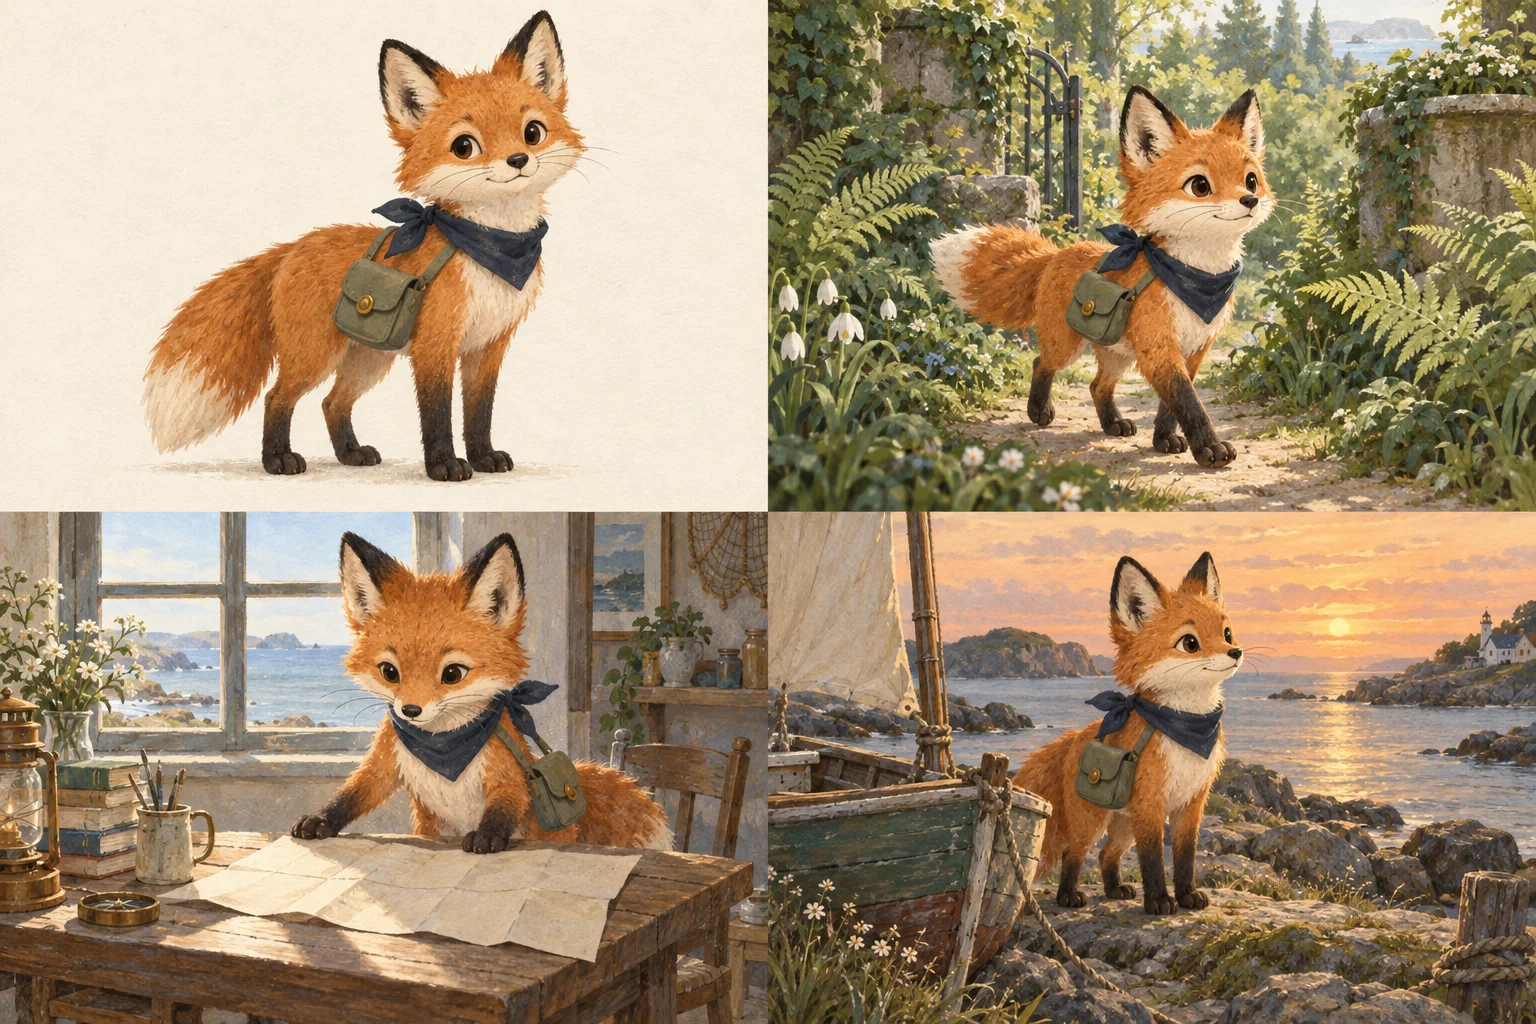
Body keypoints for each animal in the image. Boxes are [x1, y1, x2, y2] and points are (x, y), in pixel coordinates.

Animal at [143, 11, 584, 481]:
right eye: (464, 146)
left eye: (532, 132)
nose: (518, 161)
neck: (492, 251)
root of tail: (291, 248)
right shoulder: (435, 346)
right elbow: (437, 414)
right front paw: (444, 465)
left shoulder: (488, 347)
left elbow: (479, 412)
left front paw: (484, 457)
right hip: (316, 355)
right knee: (278, 397)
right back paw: (277, 459)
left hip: (368, 360)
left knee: (331, 402)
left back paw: (350, 454)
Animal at [292, 531, 672, 853]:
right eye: (389, 672)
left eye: (452, 673)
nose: (410, 711)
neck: (442, 746)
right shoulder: (385, 764)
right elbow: (353, 793)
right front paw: (320, 820)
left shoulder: (507, 771)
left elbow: (506, 803)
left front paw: (487, 835)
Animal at [930, 86, 1273, 468]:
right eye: (1199, 185)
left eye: (1251, 180)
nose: (1250, 200)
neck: (1195, 282)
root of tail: (1054, 255)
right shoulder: (1159, 348)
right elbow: (1188, 402)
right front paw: (1210, 449)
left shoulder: (1195, 350)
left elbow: (1170, 407)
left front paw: (1164, 440)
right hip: (1067, 346)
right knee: (1041, 362)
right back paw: (1039, 411)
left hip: (1116, 354)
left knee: (1097, 386)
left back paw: (1112, 424)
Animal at [1014, 552, 1241, 915]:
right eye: (1190, 643)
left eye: (1227, 632)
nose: (1236, 652)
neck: (1186, 730)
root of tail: (1072, 741)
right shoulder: (1151, 805)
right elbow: (1153, 860)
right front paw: (1159, 901)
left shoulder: (1191, 804)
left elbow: (1186, 857)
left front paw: (1187, 895)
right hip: (1092, 822)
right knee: (1072, 853)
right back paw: (1069, 896)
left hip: (1122, 828)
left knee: (1106, 854)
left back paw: (1113, 889)